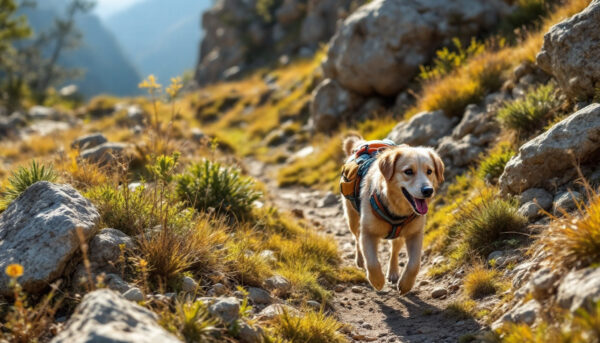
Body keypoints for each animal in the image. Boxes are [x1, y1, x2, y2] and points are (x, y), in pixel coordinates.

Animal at [340, 134, 442, 292]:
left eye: (429, 171)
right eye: (408, 171)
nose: (428, 191)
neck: (396, 208)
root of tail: (364, 143)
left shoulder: (415, 234)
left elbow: (414, 264)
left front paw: (406, 284)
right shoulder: (367, 233)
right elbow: (372, 262)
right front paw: (377, 281)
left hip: (399, 235)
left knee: (394, 250)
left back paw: (393, 272)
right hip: (353, 220)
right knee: (356, 238)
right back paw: (360, 260)